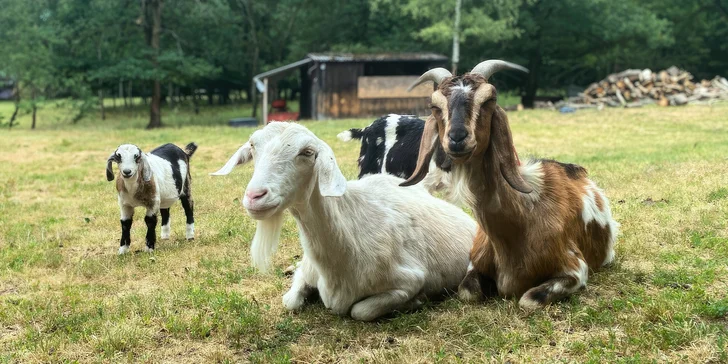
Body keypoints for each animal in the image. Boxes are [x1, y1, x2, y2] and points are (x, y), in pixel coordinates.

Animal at [210, 123, 474, 322]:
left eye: (307, 152)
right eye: (253, 146)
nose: (255, 196)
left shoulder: (410, 279)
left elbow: (360, 310)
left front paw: (416, 301)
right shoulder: (308, 271)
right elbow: (290, 301)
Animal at [400, 60, 616, 310]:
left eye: (489, 100)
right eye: (434, 105)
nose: (457, 138)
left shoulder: (575, 268)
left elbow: (529, 300)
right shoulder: (475, 262)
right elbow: (467, 292)